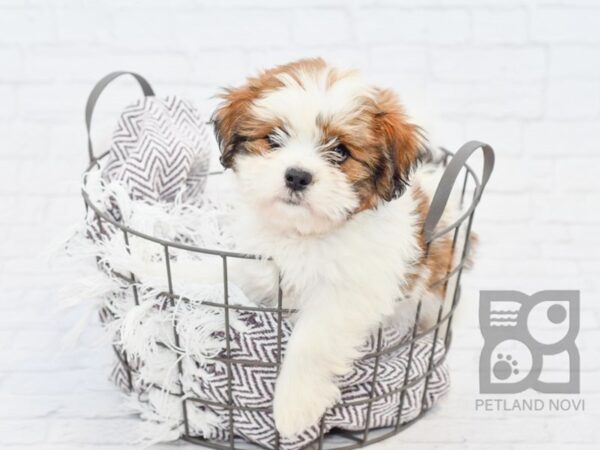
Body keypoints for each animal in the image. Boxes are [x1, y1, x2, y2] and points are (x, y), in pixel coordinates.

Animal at [206, 58, 460, 438]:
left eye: (340, 151)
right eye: (274, 140)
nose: (297, 175)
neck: (306, 235)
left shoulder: (348, 296)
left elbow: (311, 341)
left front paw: (292, 405)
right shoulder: (258, 266)